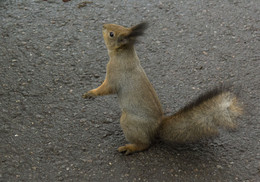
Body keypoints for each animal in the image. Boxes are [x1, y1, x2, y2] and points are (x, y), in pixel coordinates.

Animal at [82, 22, 243, 154]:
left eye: (111, 34)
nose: (103, 25)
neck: (123, 55)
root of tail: (157, 128)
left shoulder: (115, 74)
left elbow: (107, 88)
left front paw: (91, 93)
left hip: (128, 121)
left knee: (145, 144)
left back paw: (130, 147)